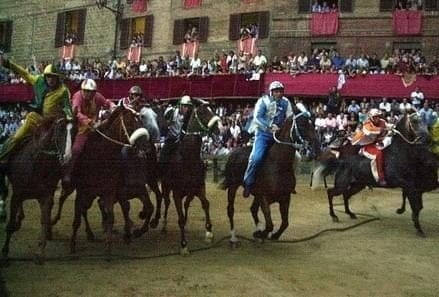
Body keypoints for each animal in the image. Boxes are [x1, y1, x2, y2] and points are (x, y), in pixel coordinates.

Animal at [0, 115, 73, 262]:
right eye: (60, 130)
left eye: (74, 132)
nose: (67, 157)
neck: (38, 164)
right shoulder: (17, 194)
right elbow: (10, 224)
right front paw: (5, 252)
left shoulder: (46, 196)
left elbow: (44, 220)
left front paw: (40, 252)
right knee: (4, 192)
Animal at [160, 97, 222, 254]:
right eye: (203, 111)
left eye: (213, 110)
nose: (219, 128)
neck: (187, 157)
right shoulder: (176, 192)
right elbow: (180, 217)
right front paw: (183, 245)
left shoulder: (199, 187)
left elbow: (206, 204)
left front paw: (209, 232)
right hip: (166, 187)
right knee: (166, 202)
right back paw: (163, 226)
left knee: (186, 203)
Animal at [223, 107, 320, 245]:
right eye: (301, 125)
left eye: (313, 124)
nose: (317, 147)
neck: (277, 165)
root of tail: (233, 153)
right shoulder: (264, 198)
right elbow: (270, 225)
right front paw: (261, 233)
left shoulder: (285, 198)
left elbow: (285, 223)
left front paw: (271, 235)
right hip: (233, 187)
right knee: (230, 210)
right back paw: (233, 238)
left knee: (253, 209)